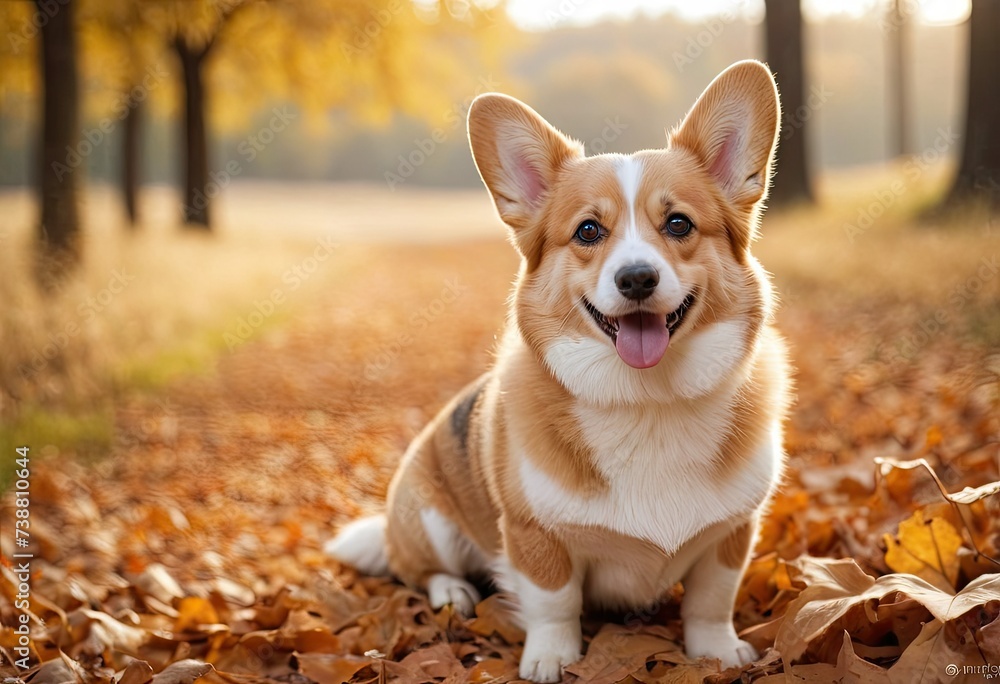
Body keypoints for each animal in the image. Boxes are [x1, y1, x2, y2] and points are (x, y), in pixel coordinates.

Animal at [326, 61, 788, 680]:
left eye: (678, 224)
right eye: (588, 231)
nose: (636, 279)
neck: (648, 400)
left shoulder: (731, 533)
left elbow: (712, 600)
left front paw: (716, 652)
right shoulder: (533, 535)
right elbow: (555, 602)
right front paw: (551, 658)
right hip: (431, 519)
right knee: (419, 569)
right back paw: (452, 593)